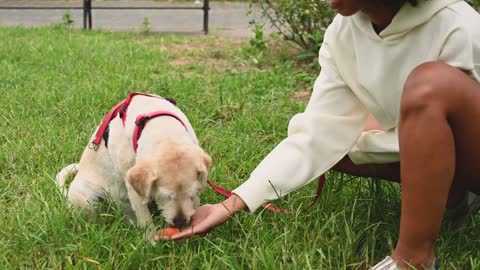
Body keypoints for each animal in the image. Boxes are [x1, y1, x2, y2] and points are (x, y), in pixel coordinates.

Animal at [55, 93, 210, 245]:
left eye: (191, 194)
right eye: (164, 196)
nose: (180, 222)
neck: (163, 130)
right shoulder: (133, 187)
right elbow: (145, 220)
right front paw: (151, 244)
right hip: (84, 198)